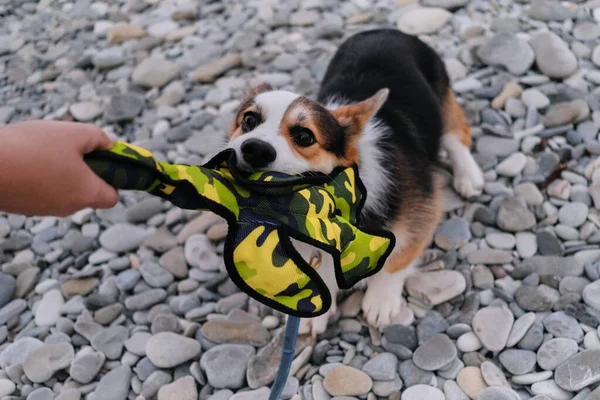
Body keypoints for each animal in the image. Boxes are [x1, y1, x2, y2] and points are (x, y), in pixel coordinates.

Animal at [227, 28, 486, 334]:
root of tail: (386, 30)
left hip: (442, 100)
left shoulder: (421, 212)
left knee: (456, 134)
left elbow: (397, 258)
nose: (254, 149)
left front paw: (380, 302)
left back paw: (469, 176)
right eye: (249, 120)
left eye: (304, 136)